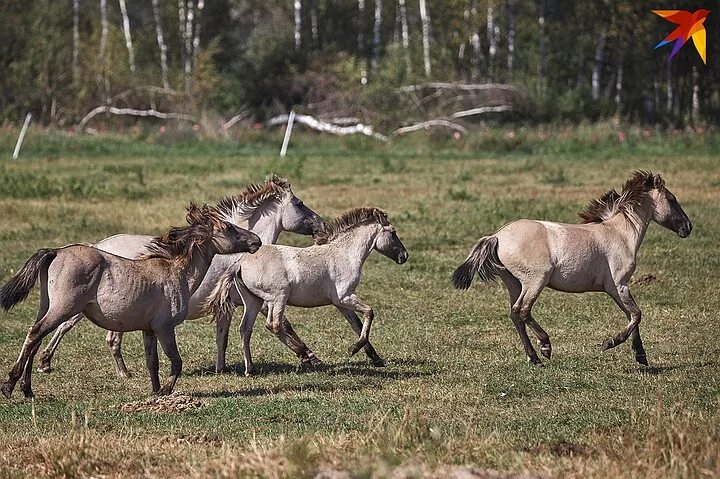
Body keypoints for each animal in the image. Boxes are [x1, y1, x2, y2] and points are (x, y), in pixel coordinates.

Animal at [0, 204, 262, 400]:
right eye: (228, 227)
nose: (256, 241)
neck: (176, 273)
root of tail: (56, 252)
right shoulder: (165, 328)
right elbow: (176, 361)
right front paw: (165, 391)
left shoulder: (149, 330)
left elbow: (152, 363)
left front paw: (155, 392)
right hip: (62, 310)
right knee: (35, 334)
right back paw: (10, 385)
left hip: (48, 308)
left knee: (35, 340)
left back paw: (28, 390)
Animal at [36, 174, 324, 376]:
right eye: (299, 203)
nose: (321, 225)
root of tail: (98, 246)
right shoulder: (254, 300)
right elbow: (283, 325)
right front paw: (310, 357)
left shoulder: (228, 305)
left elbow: (222, 337)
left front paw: (221, 368)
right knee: (85, 330)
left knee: (69, 325)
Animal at [211, 206, 408, 376]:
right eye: (393, 232)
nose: (404, 256)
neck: (344, 254)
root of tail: (240, 263)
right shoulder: (344, 297)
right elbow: (369, 312)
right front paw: (353, 349)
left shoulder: (340, 304)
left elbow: (357, 324)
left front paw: (376, 358)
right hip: (278, 298)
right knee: (273, 325)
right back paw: (307, 357)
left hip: (254, 301)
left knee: (246, 329)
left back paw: (250, 369)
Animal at [452, 172, 696, 368]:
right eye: (672, 199)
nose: (688, 227)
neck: (620, 234)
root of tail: (497, 236)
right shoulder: (619, 285)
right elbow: (636, 314)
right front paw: (610, 342)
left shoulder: (614, 289)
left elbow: (632, 316)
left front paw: (641, 355)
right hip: (535, 281)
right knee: (522, 310)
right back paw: (545, 348)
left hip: (513, 283)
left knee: (515, 314)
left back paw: (534, 358)